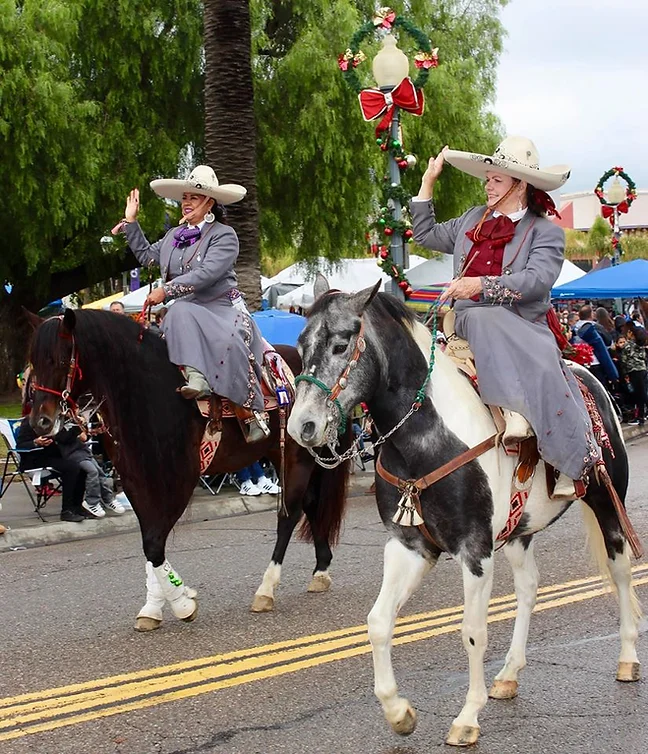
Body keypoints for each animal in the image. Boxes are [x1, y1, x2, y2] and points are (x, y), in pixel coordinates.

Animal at [27, 306, 350, 628]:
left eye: (59, 360)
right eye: (32, 363)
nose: (40, 422)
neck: (146, 391)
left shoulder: (179, 478)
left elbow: (154, 540)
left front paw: (181, 602)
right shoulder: (136, 479)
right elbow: (150, 537)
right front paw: (155, 605)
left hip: (298, 457)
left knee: (289, 515)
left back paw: (266, 589)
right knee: (311, 503)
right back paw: (320, 569)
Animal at [290, 280, 644, 748]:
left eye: (341, 343)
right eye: (300, 343)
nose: (301, 426)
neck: (425, 439)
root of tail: (590, 378)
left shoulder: (475, 549)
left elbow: (473, 631)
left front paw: (467, 718)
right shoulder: (410, 546)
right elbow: (379, 622)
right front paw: (399, 712)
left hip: (607, 503)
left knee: (619, 572)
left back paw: (627, 657)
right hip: (518, 531)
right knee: (529, 588)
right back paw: (509, 673)